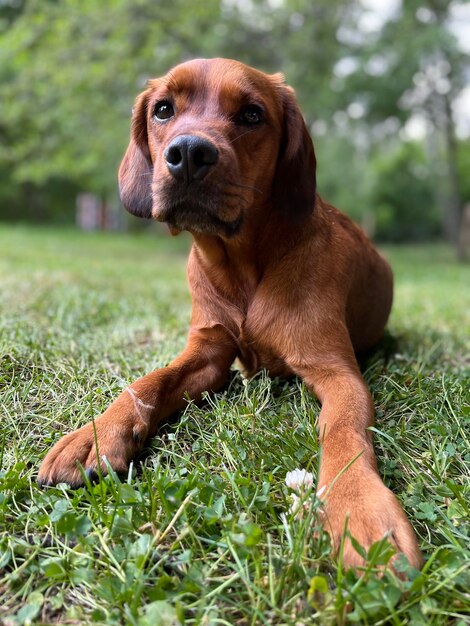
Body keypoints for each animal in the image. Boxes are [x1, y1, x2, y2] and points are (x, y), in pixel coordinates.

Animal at [39, 58, 422, 572]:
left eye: (252, 115)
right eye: (163, 110)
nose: (188, 153)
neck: (242, 267)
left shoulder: (337, 371)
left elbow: (343, 431)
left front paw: (359, 506)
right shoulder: (209, 353)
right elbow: (148, 382)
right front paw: (95, 435)